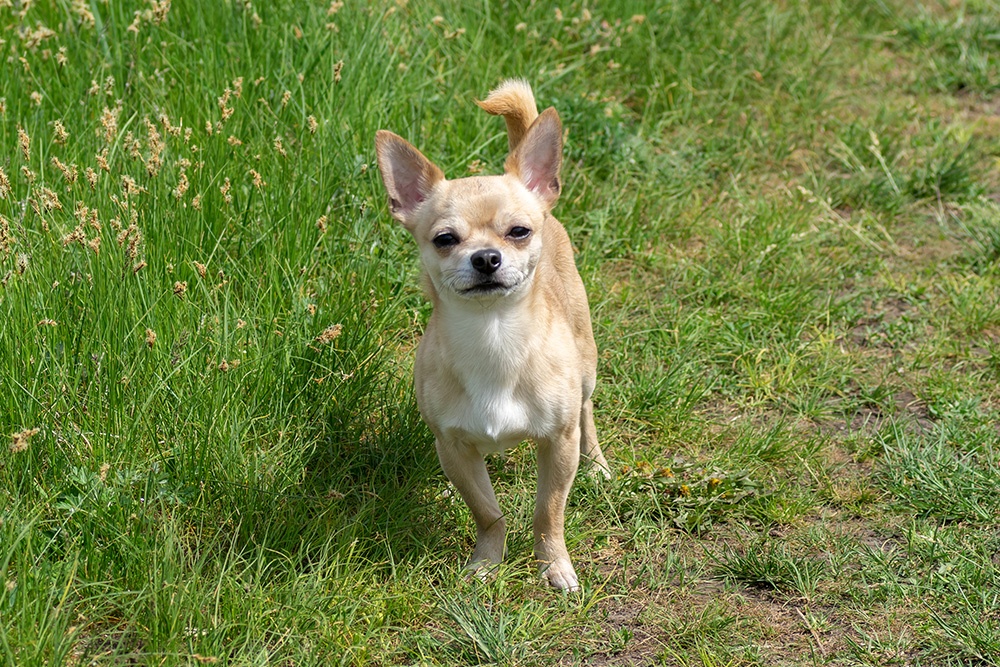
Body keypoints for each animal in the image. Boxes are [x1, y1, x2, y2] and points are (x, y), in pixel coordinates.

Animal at [376, 81, 608, 592]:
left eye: (518, 231)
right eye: (444, 239)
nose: (485, 257)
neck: (494, 337)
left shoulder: (557, 444)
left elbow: (548, 512)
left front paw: (554, 565)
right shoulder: (453, 447)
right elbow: (487, 511)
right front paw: (486, 562)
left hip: (585, 366)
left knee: (586, 411)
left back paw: (598, 464)